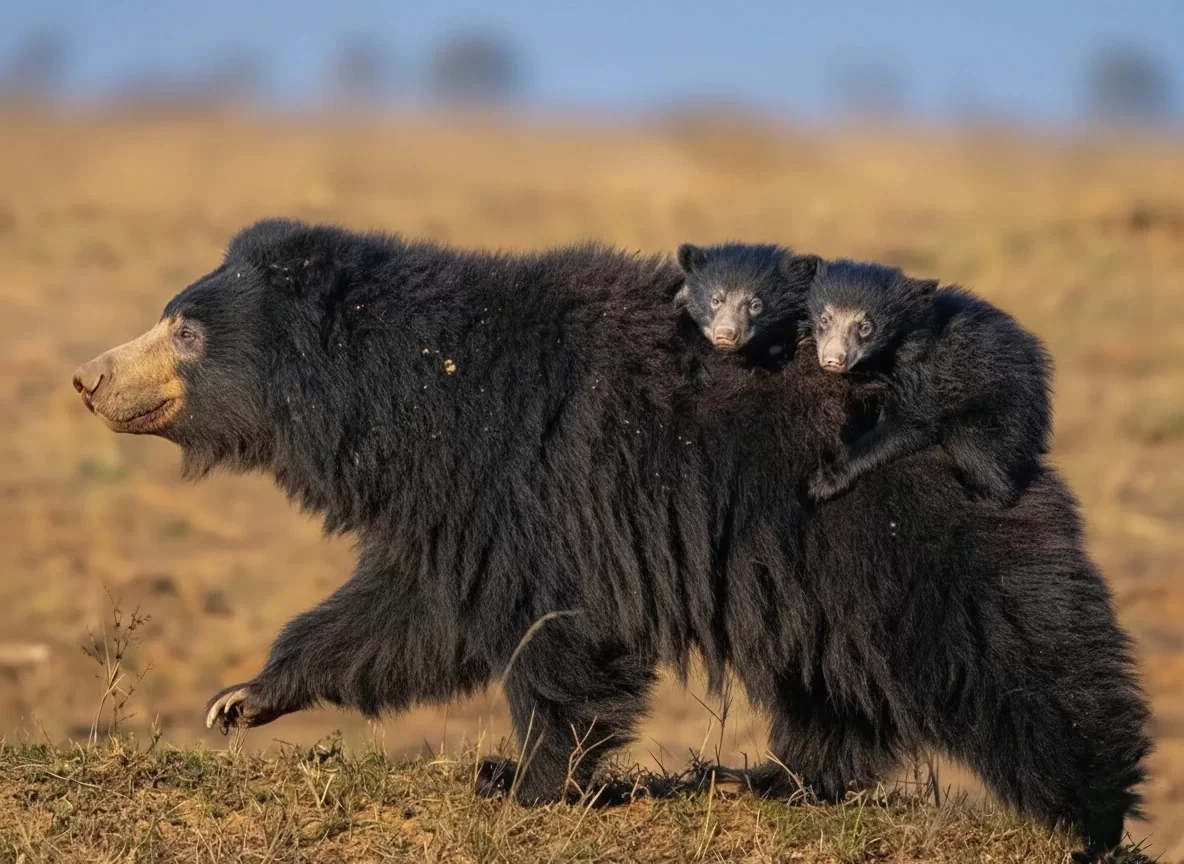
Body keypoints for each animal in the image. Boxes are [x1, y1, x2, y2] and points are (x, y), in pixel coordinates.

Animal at [802, 258, 1053, 505]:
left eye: (865, 328)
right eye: (825, 319)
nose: (833, 360)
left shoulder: (921, 370)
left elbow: (907, 423)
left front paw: (822, 484)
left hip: (1001, 409)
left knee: (978, 449)